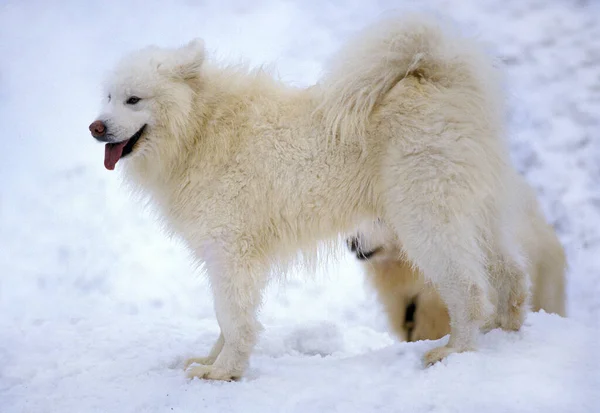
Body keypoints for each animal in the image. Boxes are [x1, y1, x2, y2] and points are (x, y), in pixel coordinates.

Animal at [89, 12, 528, 380]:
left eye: (134, 99)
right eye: (108, 97)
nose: (96, 127)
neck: (200, 127)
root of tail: (441, 77)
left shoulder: (231, 250)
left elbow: (232, 318)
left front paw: (222, 372)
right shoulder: (229, 257)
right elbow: (226, 319)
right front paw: (211, 361)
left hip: (426, 218)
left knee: (469, 288)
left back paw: (455, 351)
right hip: (477, 212)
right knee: (509, 273)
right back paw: (504, 331)